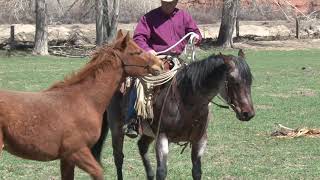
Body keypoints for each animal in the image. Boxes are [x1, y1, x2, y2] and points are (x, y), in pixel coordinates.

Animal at [0, 30, 165, 179]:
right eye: (136, 52)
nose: (160, 65)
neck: (85, 100)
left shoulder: (67, 158)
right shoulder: (77, 151)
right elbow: (98, 172)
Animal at [92, 49, 255, 180]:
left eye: (250, 80)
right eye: (233, 80)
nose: (248, 113)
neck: (188, 100)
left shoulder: (200, 140)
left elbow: (197, 172)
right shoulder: (162, 137)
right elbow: (162, 172)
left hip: (149, 133)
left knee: (142, 146)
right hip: (117, 128)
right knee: (118, 158)